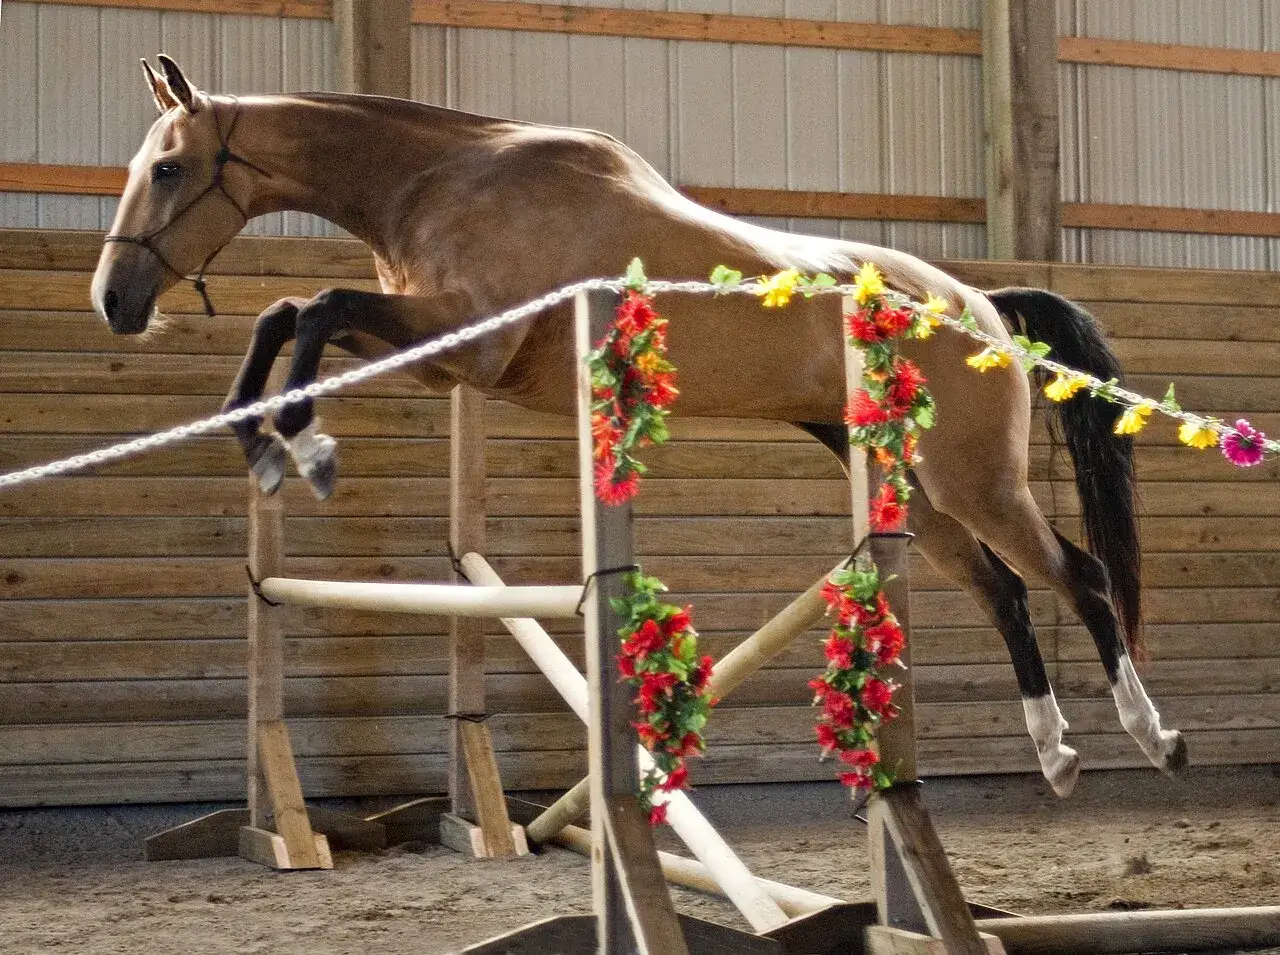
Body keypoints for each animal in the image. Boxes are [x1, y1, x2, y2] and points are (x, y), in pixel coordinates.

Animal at [91, 55, 1187, 797]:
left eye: (169, 169)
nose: (114, 300)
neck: (442, 181)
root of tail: (984, 307)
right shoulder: (438, 346)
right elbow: (290, 313)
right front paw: (258, 431)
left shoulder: (466, 347)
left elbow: (312, 306)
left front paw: (301, 443)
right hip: (911, 486)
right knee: (1007, 592)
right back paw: (1054, 754)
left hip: (973, 479)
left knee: (1081, 576)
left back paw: (1149, 737)